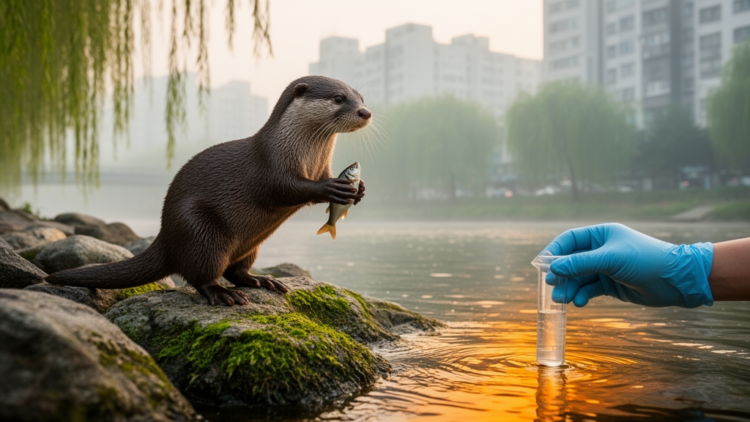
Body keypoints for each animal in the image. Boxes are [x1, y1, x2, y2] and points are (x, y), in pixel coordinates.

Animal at [46, 76, 371, 306]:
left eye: (361, 97)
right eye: (339, 98)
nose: (365, 112)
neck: (305, 156)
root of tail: (166, 237)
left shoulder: (322, 165)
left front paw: (359, 190)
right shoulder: (270, 165)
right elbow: (286, 189)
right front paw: (332, 187)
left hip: (250, 245)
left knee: (236, 271)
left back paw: (263, 281)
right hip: (201, 229)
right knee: (201, 275)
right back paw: (224, 294)